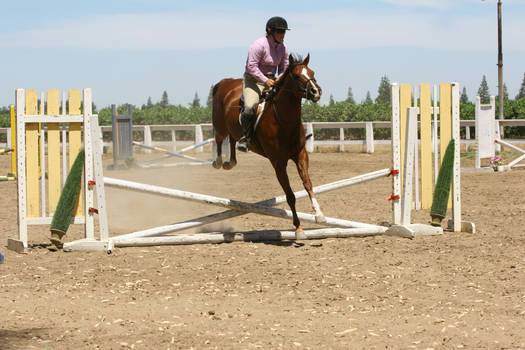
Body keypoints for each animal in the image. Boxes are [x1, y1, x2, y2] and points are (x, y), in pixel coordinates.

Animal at [211, 54, 326, 239]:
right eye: (296, 76)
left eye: (312, 72)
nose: (316, 92)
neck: (284, 121)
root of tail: (226, 82)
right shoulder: (278, 163)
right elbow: (290, 195)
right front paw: (299, 229)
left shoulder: (301, 155)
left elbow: (308, 184)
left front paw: (319, 214)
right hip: (220, 126)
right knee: (219, 139)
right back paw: (219, 162)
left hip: (233, 128)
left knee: (234, 139)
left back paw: (231, 162)